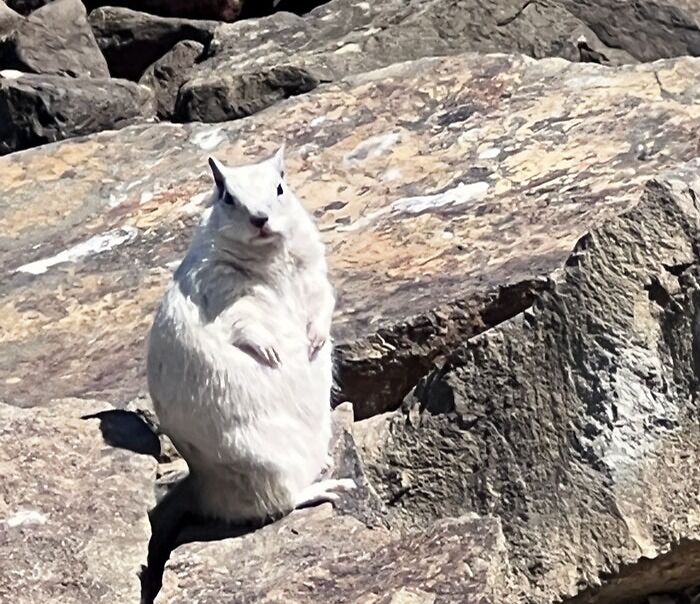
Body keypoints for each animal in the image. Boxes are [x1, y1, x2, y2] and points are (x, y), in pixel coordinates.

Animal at [141, 146, 355, 601]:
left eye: (281, 186)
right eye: (227, 196)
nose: (260, 218)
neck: (269, 258)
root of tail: (204, 490)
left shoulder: (315, 272)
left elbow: (324, 301)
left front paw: (314, 340)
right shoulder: (222, 292)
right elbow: (243, 324)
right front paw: (272, 351)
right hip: (269, 463)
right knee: (283, 501)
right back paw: (326, 487)